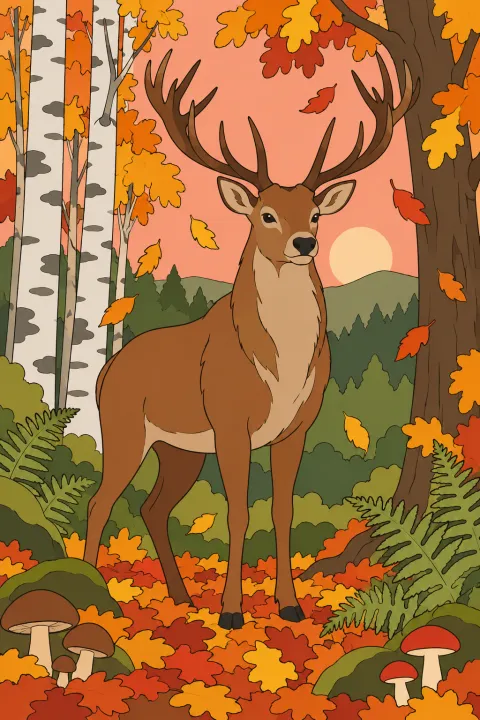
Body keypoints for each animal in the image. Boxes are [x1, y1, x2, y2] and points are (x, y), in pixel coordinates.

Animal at [84, 48, 416, 629]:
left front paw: (290, 605)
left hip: (178, 449)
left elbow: (282, 510)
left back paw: (182, 598)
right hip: (125, 429)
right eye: (266, 214)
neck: (280, 368)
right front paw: (232, 612)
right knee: (101, 502)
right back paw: (98, 596)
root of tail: (106, 372)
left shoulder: (296, 427)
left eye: (315, 213)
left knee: (152, 506)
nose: (304, 242)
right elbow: (238, 511)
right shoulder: (230, 420)